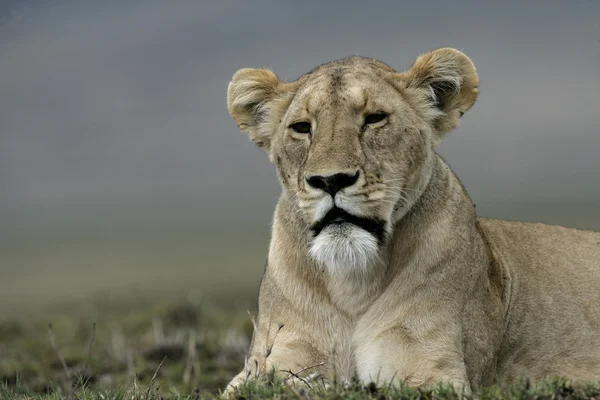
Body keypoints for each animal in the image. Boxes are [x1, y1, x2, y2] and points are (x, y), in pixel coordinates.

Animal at [221, 48, 600, 396]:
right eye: (301, 128)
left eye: (374, 119)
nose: (330, 180)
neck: (352, 280)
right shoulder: (278, 360)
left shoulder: (429, 368)